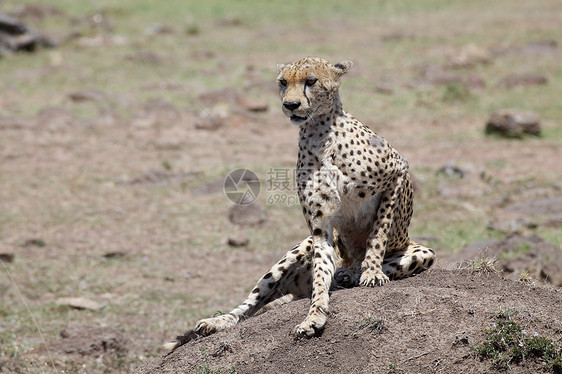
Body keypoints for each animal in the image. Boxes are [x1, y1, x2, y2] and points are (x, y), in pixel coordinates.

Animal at [164, 56, 436, 350]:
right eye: (283, 82)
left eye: (311, 81)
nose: (290, 105)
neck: (320, 134)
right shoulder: (319, 230)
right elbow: (321, 274)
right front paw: (314, 316)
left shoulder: (398, 172)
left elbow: (379, 232)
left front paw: (372, 272)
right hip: (295, 254)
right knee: (251, 305)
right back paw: (219, 320)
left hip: (423, 252)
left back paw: (352, 273)